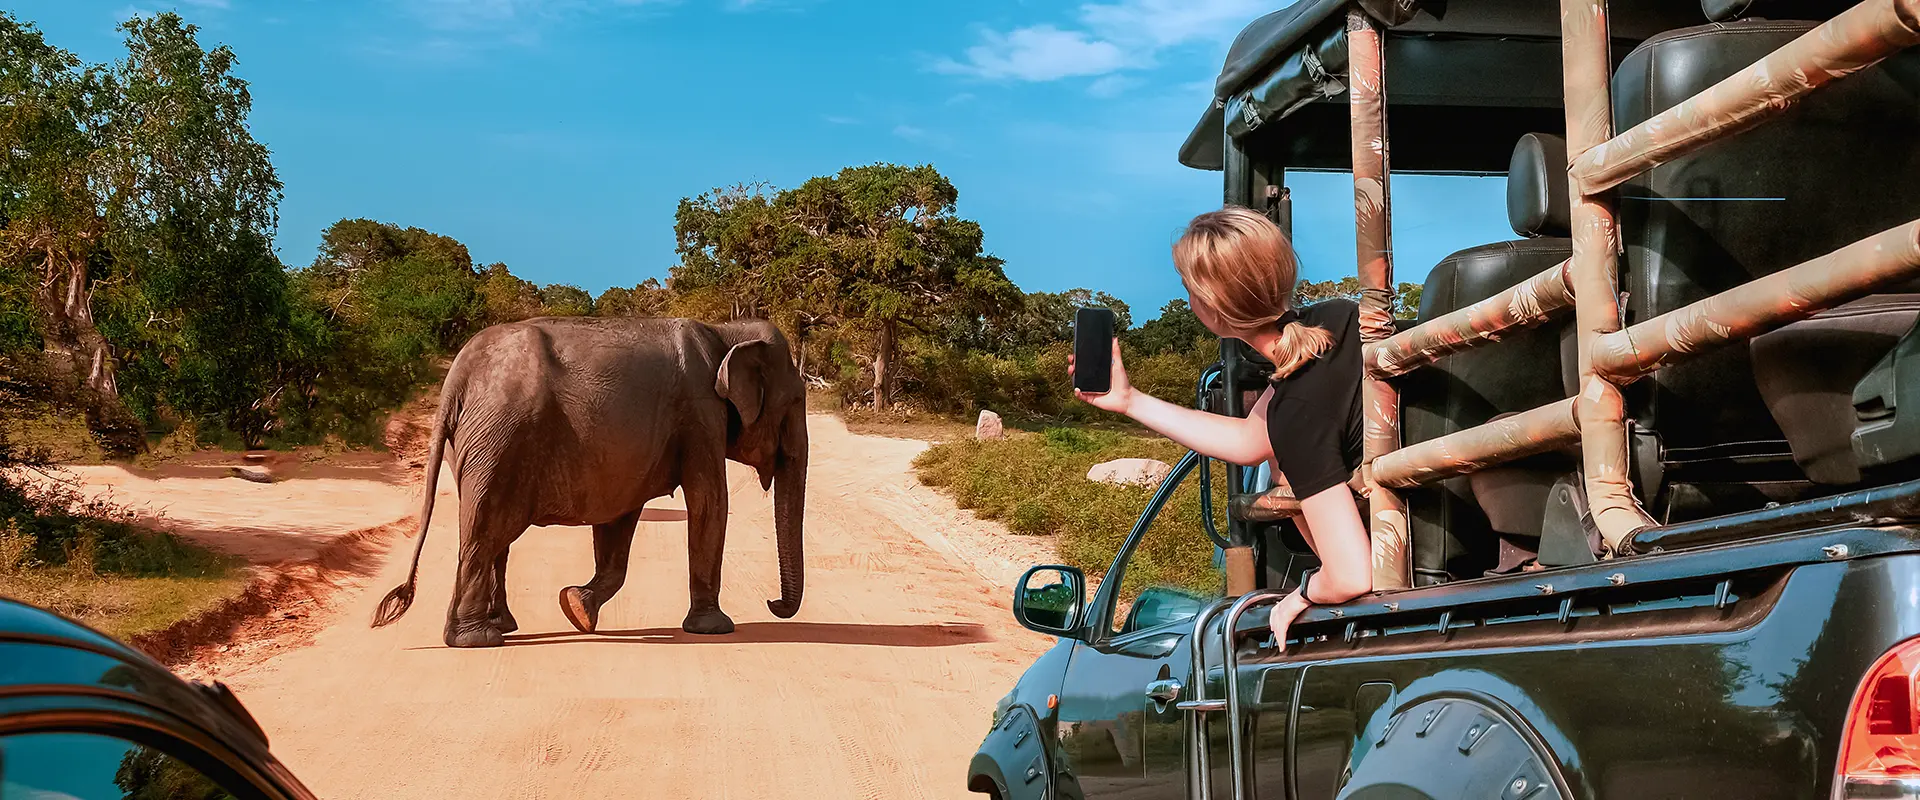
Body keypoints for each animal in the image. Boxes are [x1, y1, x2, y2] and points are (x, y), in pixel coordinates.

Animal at [368, 316, 807, 648]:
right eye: (796, 402)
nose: (772, 602)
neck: (727, 332)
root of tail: (457, 377)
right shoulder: (700, 413)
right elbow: (709, 501)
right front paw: (714, 629)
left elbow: (620, 517)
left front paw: (576, 607)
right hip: (498, 440)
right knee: (485, 531)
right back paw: (477, 639)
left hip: (479, 444)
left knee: (493, 536)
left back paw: (502, 626)